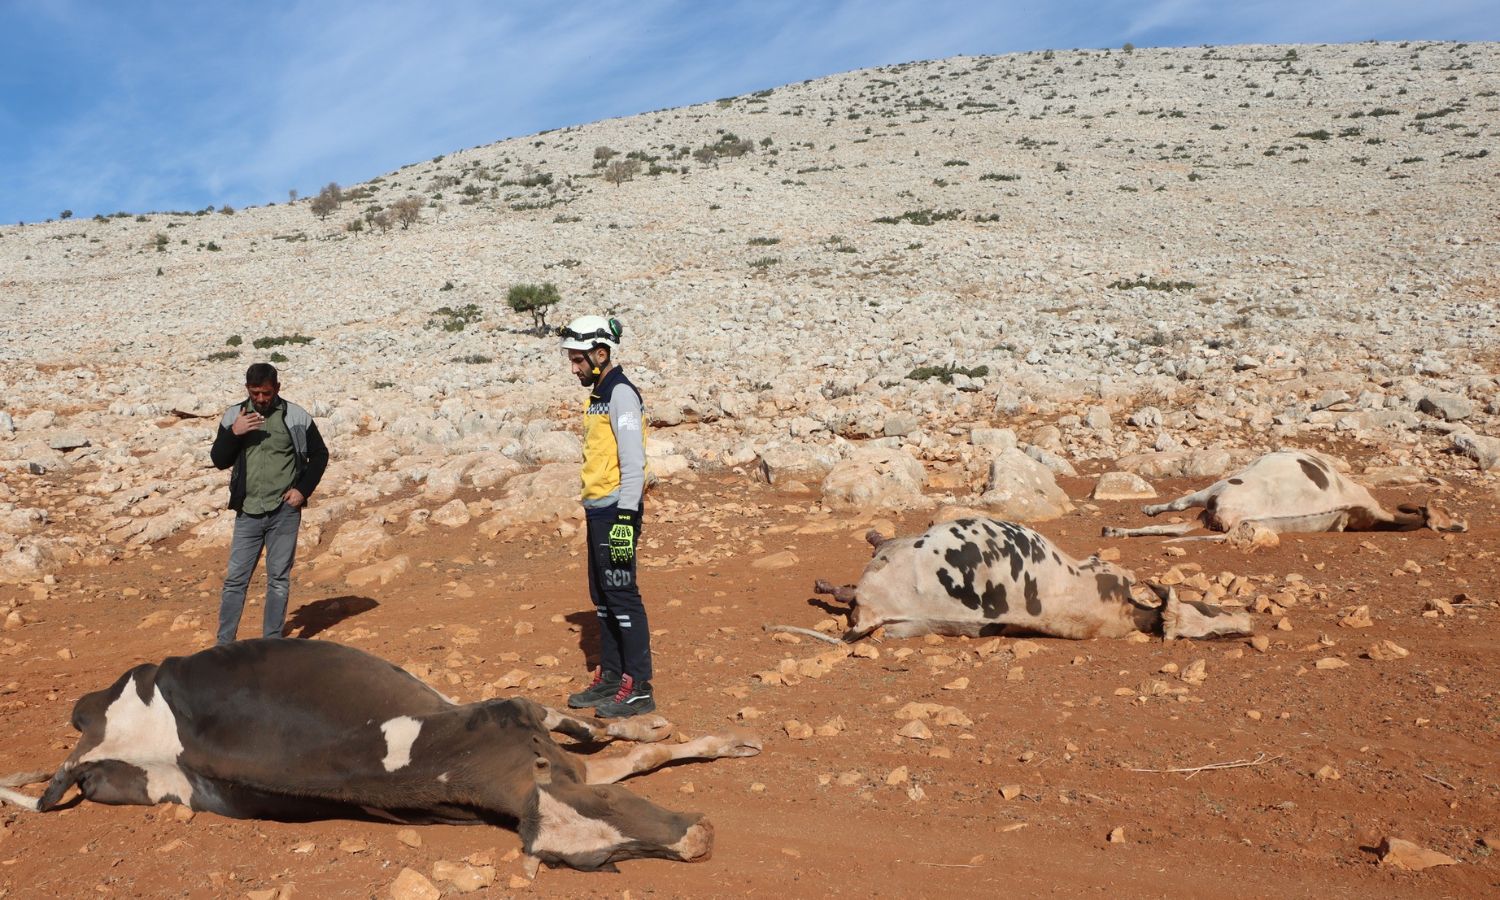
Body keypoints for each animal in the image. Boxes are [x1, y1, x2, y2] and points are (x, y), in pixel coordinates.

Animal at [0, 639, 762, 870]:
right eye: (605, 860)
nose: (699, 840)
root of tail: (87, 745)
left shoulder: (507, 707)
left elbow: (604, 738)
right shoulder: (507, 711)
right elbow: (626, 753)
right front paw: (698, 739)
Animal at [1104, 450, 1464, 540]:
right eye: (1442, 516)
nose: (1461, 526)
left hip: (1214, 500)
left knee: (1172, 520)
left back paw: (1116, 528)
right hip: (1212, 504)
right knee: (1173, 518)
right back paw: (1120, 526)